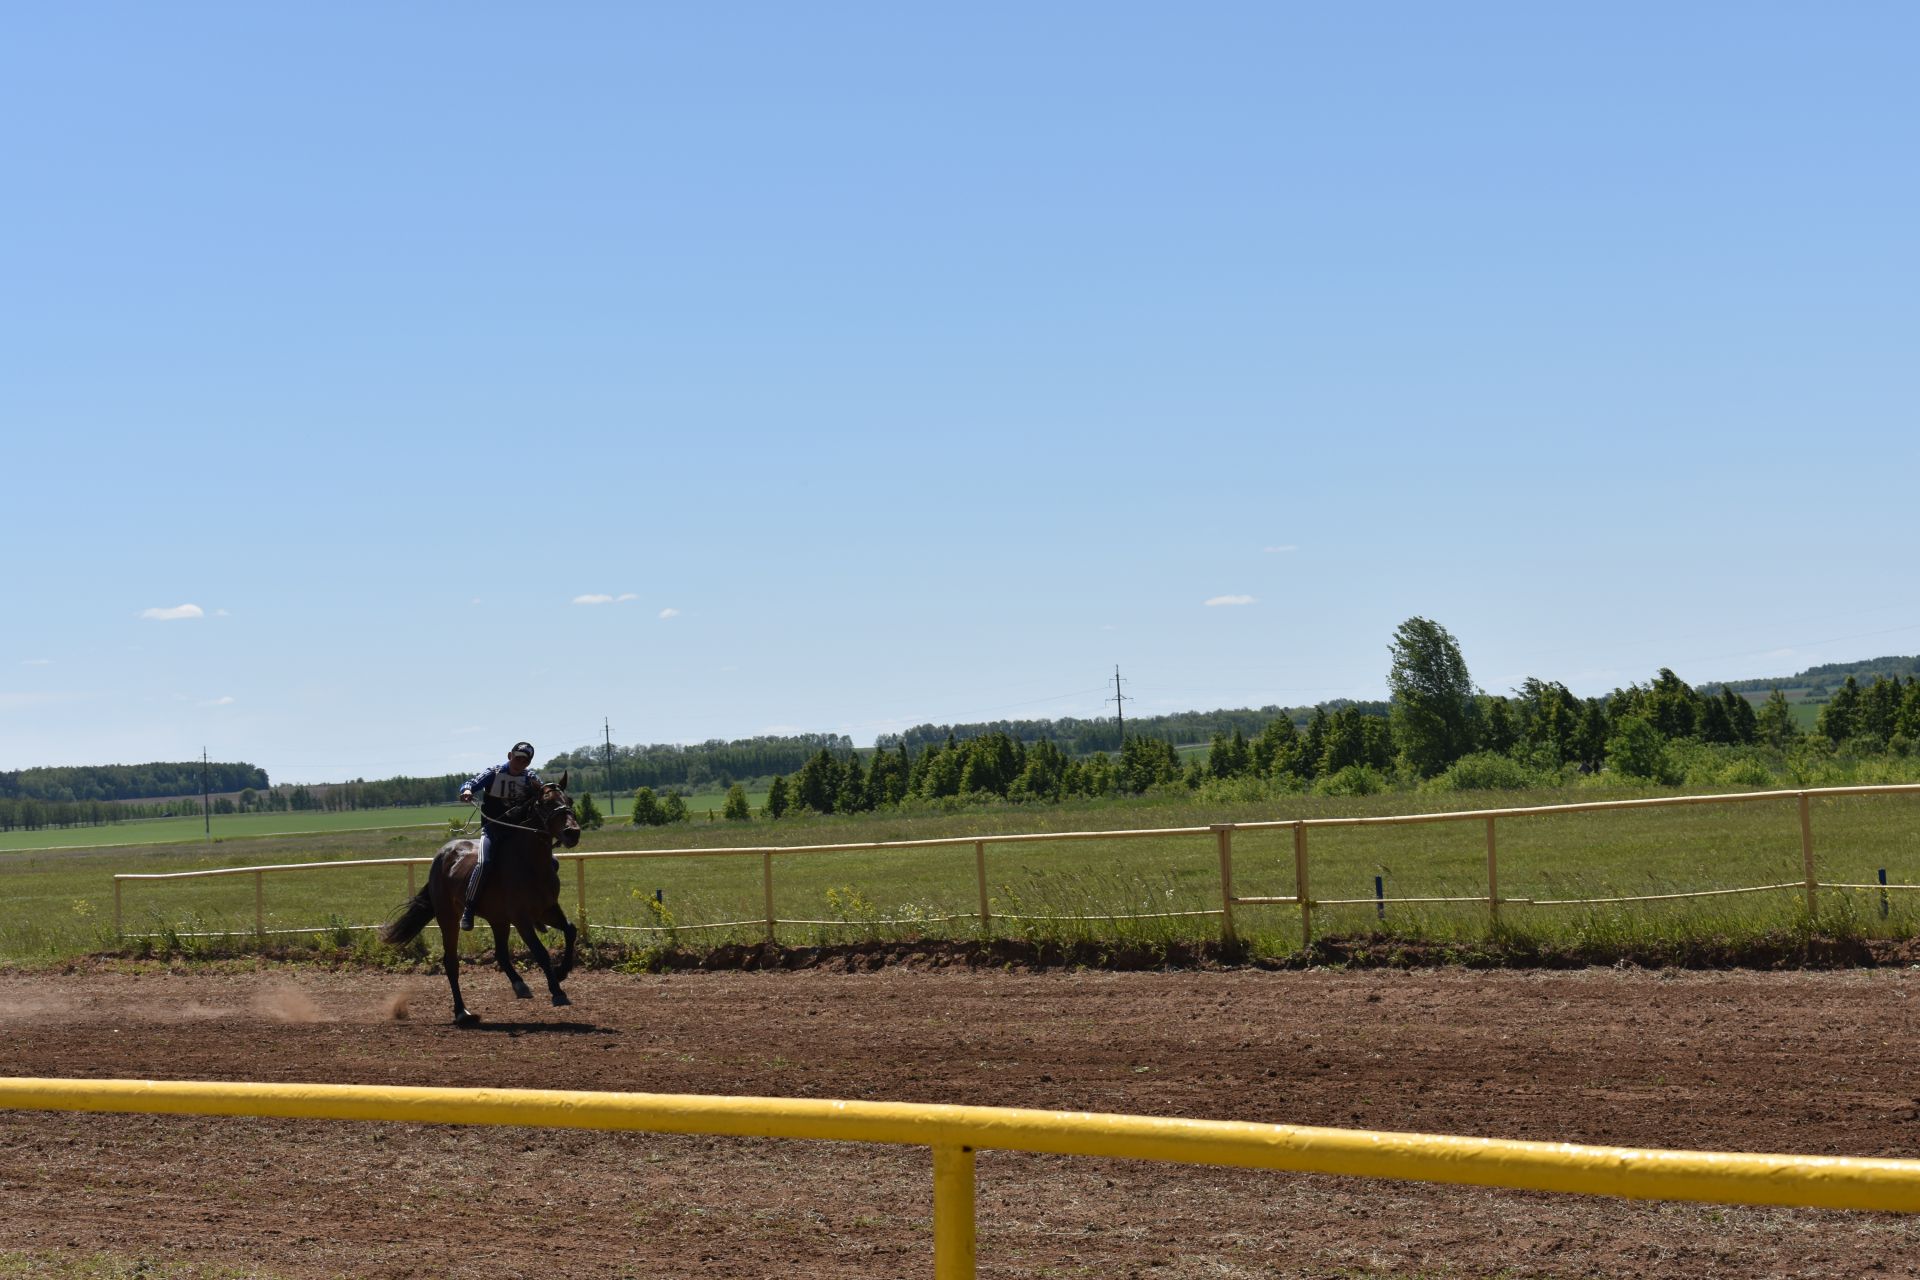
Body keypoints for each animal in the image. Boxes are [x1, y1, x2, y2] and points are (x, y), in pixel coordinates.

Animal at [378, 771, 579, 1028]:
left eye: (569, 800)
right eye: (546, 803)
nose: (573, 832)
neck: (529, 863)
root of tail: (442, 855)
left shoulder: (548, 909)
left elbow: (571, 930)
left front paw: (561, 972)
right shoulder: (521, 918)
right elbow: (541, 952)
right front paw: (557, 992)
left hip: (498, 920)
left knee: (501, 954)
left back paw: (519, 985)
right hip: (448, 918)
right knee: (451, 962)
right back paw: (462, 1012)